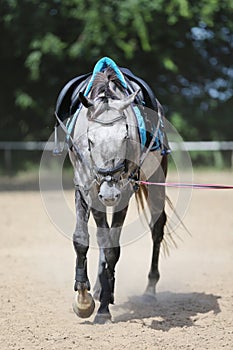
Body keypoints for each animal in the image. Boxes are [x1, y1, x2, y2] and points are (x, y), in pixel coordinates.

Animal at [68, 65, 167, 322]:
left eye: (125, 136)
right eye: (90, 140)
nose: (110, 192)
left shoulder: (125, 192)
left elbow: (113, 248)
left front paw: (103, 307)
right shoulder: (86, 187)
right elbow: (84, 240)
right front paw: (84, 299)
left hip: (157, 178)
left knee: (157, 227)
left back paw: (149, 290)